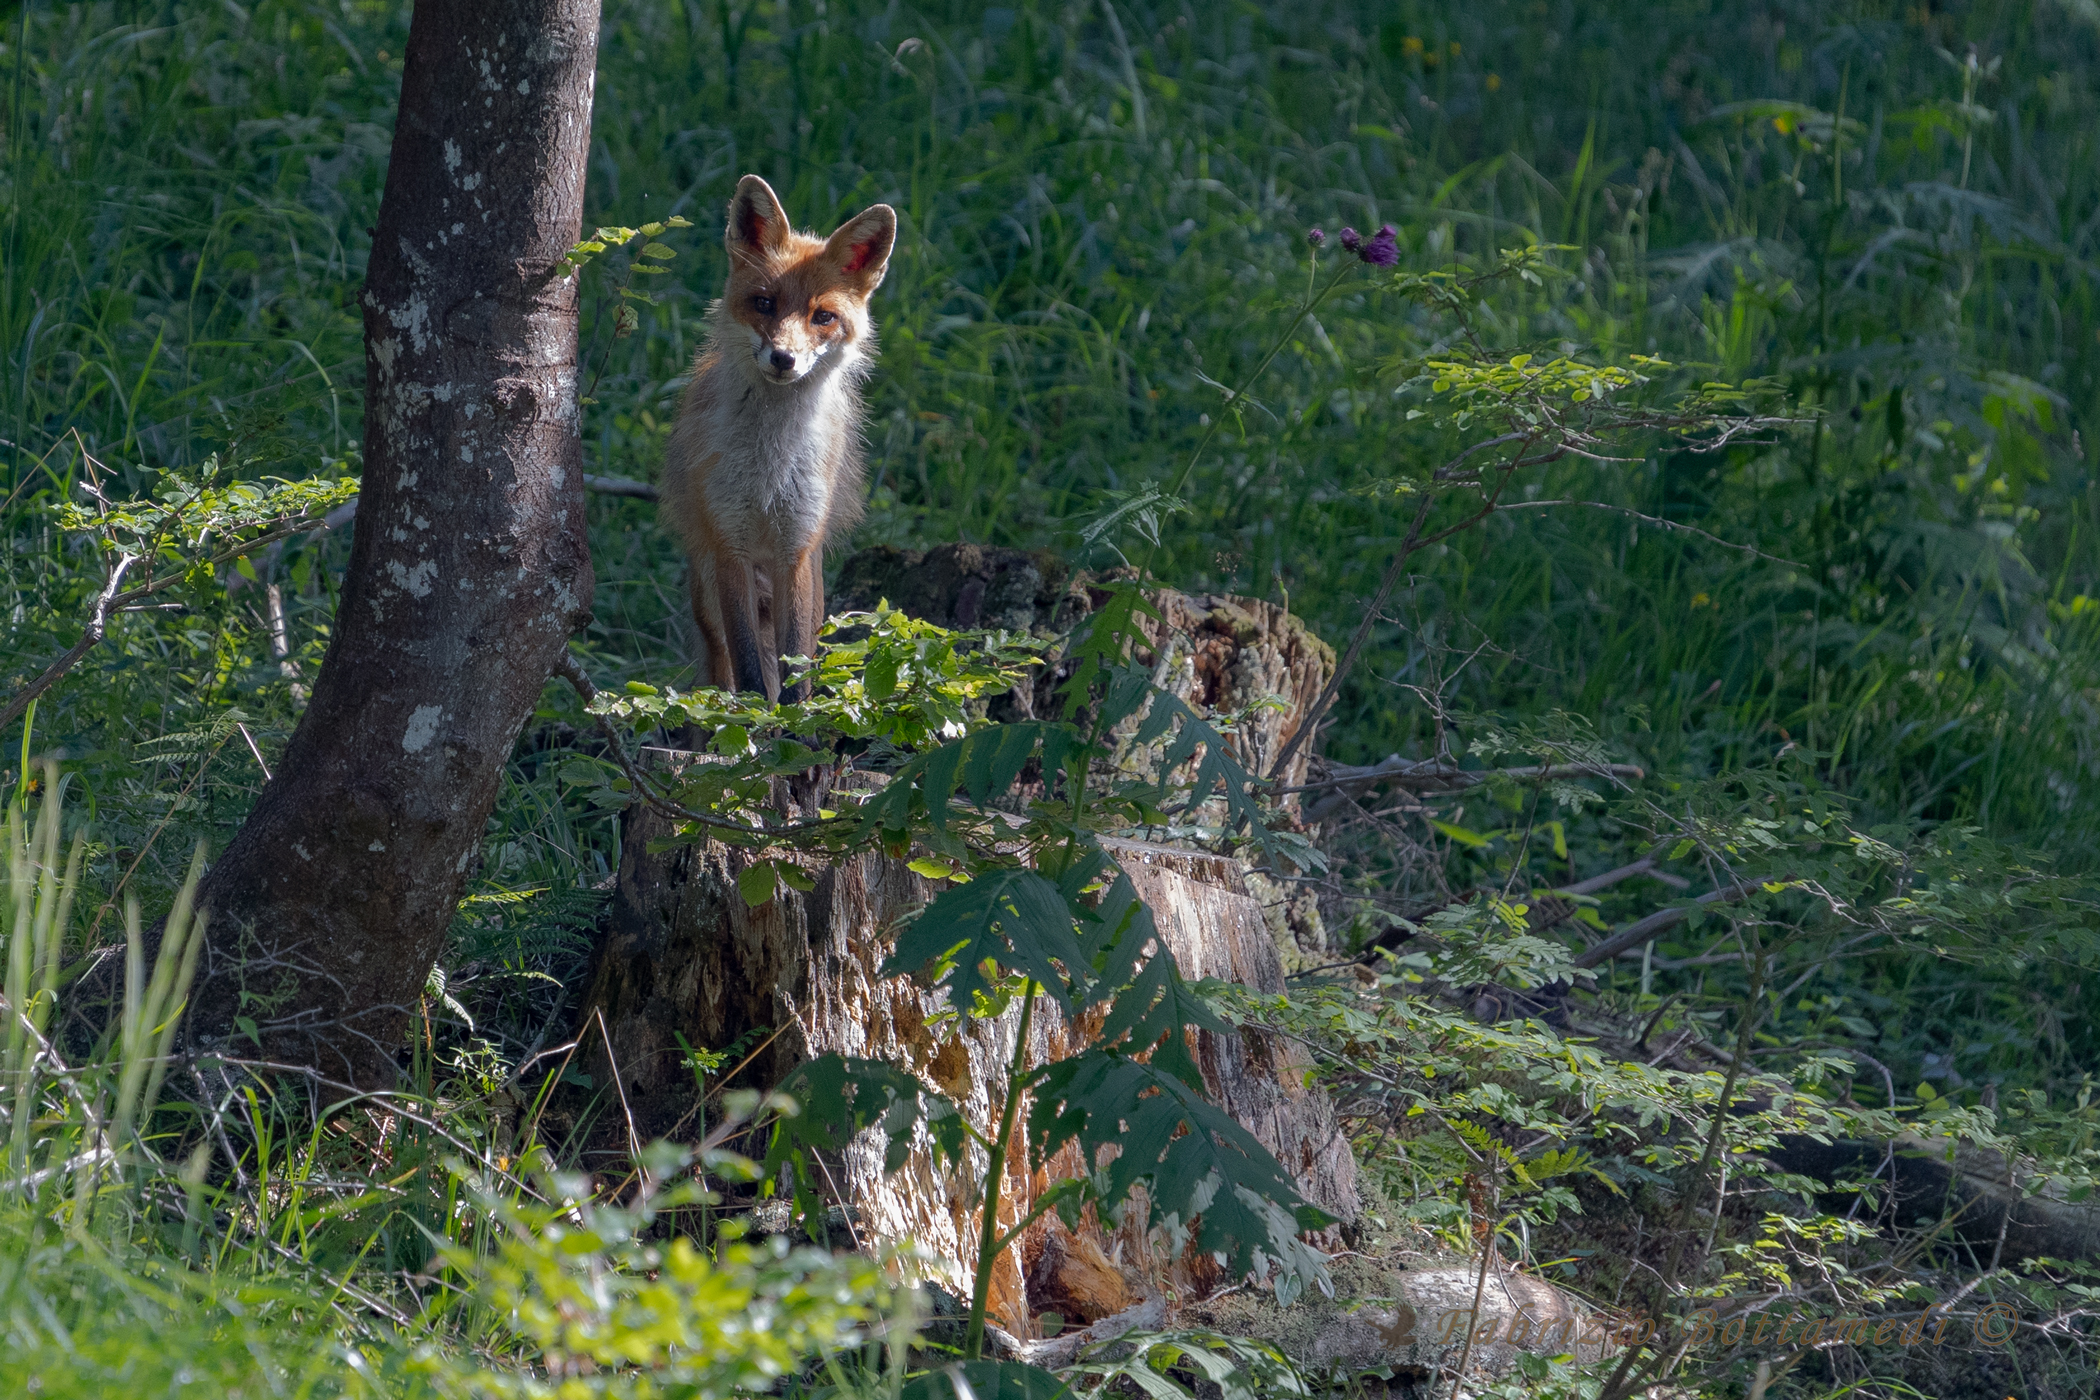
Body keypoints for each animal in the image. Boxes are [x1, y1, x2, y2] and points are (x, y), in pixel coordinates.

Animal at [660, 174, 897, 703]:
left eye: (822, 317)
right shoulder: (731, 545)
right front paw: (750, 717)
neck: (771, 464)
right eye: (764, 303)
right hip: (707, 594)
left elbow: (796, 669)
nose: (784, 359)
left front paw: (795, 722)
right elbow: (749, 668)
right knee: (719, 665)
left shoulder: (797, 547)